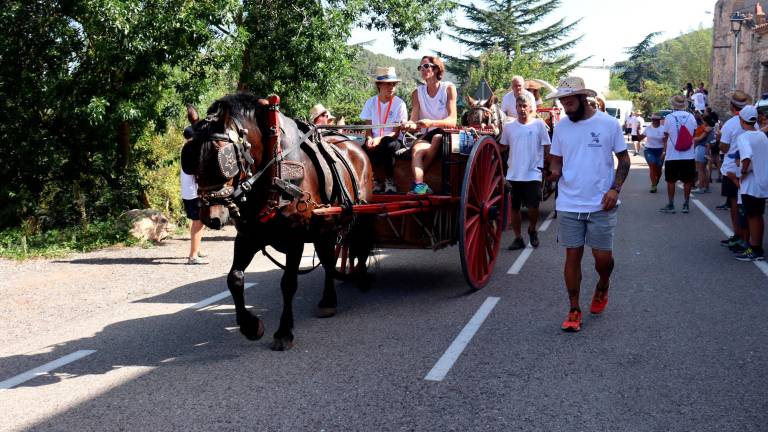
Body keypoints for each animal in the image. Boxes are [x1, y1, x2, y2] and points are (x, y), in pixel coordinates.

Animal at [180, 93, 372, 350]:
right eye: (190, 160)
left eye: (223, 159)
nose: (210, 217)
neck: (274, 168)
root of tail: (354, 144)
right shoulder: (248, 236)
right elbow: (234, 278)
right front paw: (250, 326)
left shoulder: (295, 238)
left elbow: (288, 283)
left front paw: (284, 331)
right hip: (325, 227)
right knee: (329, 259)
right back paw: (328, 300)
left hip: (358, 215)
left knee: (358, 247)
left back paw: (358, 280)